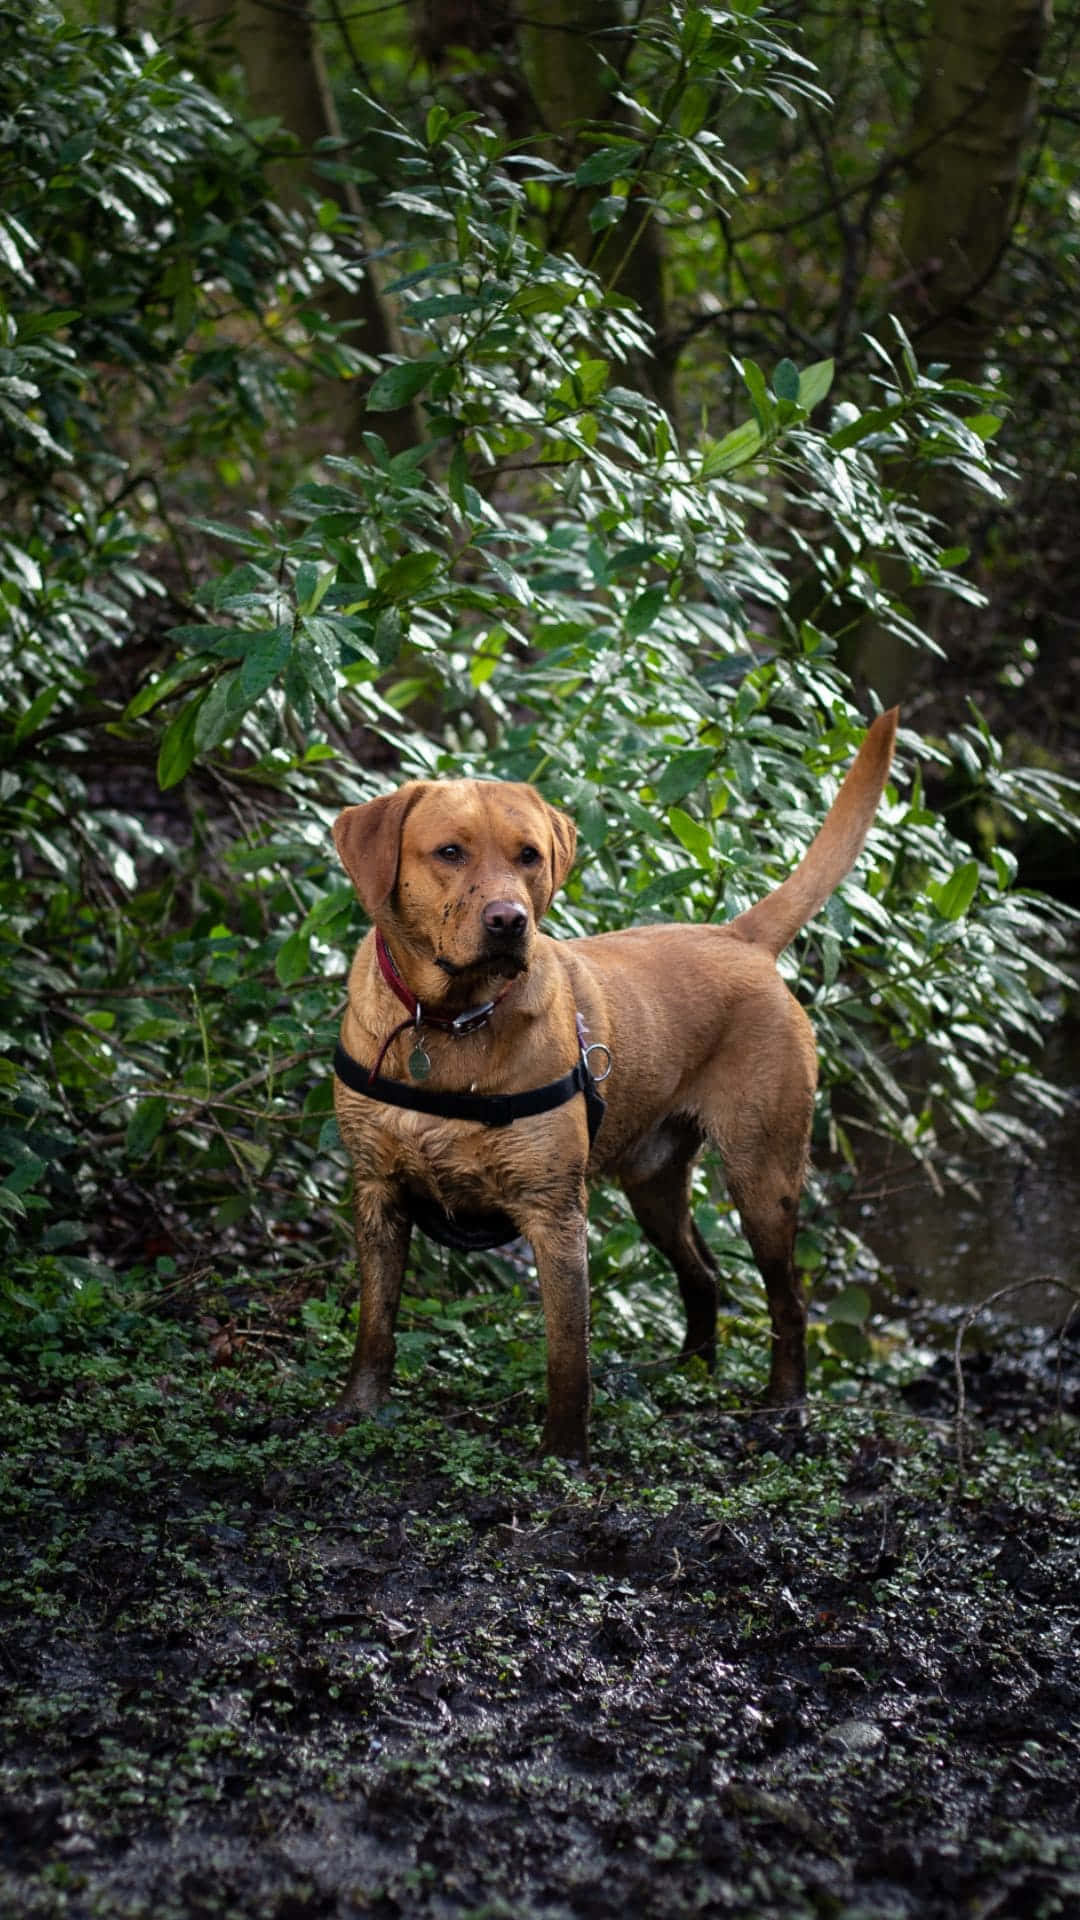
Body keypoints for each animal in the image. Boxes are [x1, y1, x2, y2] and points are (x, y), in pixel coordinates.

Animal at [332, 714, 895, 1459]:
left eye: (529, 856)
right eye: (449, 852)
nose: (510, 920)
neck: (449, 1022)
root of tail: (740, 936)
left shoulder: (554, 1214)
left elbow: (568, 1355)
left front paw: (563, 1456)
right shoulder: (378, 1194)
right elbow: (376, 1326)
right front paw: (357, 1411)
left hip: (763, 1178)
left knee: (789, 1300)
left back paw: (784, 1407)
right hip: (653, 1185)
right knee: (704, 1276)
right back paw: (688, 1374)